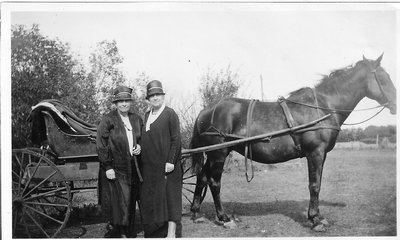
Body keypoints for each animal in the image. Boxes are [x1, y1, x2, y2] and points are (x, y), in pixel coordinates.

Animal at [189, 54, 396, 231]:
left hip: (214, 154)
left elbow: (318, 183)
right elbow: (314, 185)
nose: (395, 104)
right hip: (219, 153)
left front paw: (318, 217)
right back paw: (224, 218)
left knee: (202, 177)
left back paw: (196, 213)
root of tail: (206, 110)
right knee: (214, 182)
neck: (323, 107)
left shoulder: (322, 155)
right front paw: (314, 220)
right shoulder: (315, 153)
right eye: (384, 78)